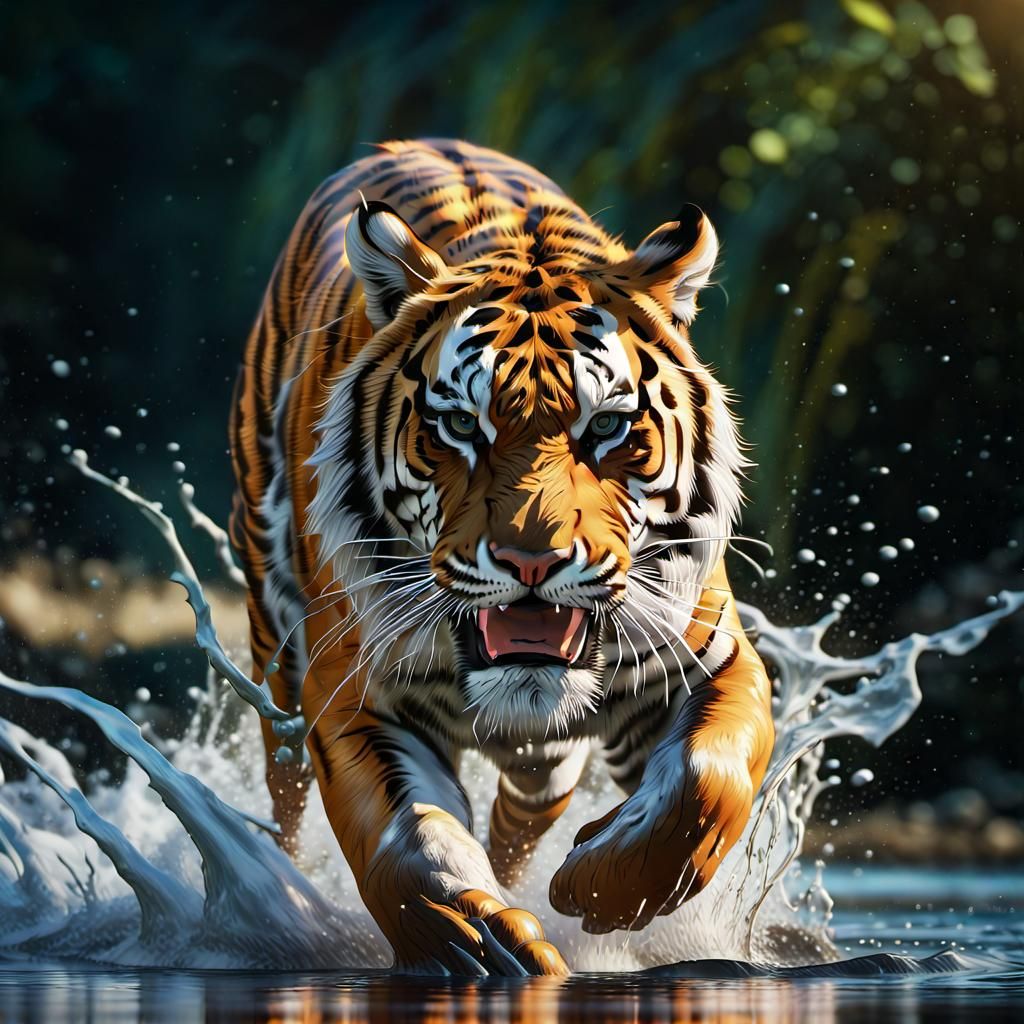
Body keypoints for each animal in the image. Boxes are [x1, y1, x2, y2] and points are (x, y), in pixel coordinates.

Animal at [229, 138, 774, 977]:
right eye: (460, 425)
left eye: (606, 428)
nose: (531, 563)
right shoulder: (352, 689)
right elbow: (406, 838)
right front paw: (480, 942)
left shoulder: (709, 656)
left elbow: (706, 776)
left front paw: (602, 886)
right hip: (275, 650)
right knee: (285, 796)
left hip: (546, 759)